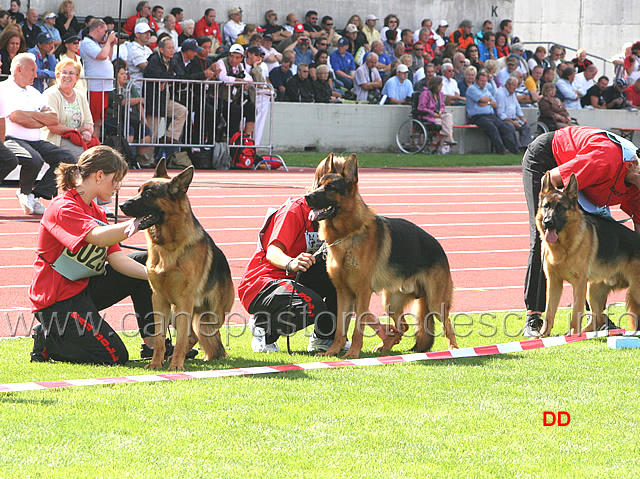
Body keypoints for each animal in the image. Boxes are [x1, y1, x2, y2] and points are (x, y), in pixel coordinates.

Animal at [119, 159, 234, 370]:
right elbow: (159, 337)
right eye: (138, 190)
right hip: (178, 311)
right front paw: (156, 363)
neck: (168, 245)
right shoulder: (158, 299)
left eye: (148, 194)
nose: (121, 204)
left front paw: (176, 366)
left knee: (205, 334)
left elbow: (180, 338)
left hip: (209, 316)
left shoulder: (184, 300)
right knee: (195, 336)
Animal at [304, 156, 460, 358]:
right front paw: (332, 352)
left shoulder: (362, 293)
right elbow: (339, 329)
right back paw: (386, 344)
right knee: (403, 326)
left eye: (330, 187)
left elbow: (357, 329)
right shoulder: (343, 293)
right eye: (318, 185)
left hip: (435, 302)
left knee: (447, 324)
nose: (307, 197)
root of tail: (438, 247)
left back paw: (454, 349)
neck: (348, 234)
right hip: (390, 303)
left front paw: (352, 354)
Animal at [536, 172, 636, 338]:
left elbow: (576, 312)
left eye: (560, 207)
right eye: (546, 206)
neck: (564, 245)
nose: (547, 222)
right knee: (598, 318)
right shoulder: (554, 282)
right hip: (593, 291)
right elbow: (549, 311)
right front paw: (543, 336)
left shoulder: (579, 284)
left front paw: (573, 335)